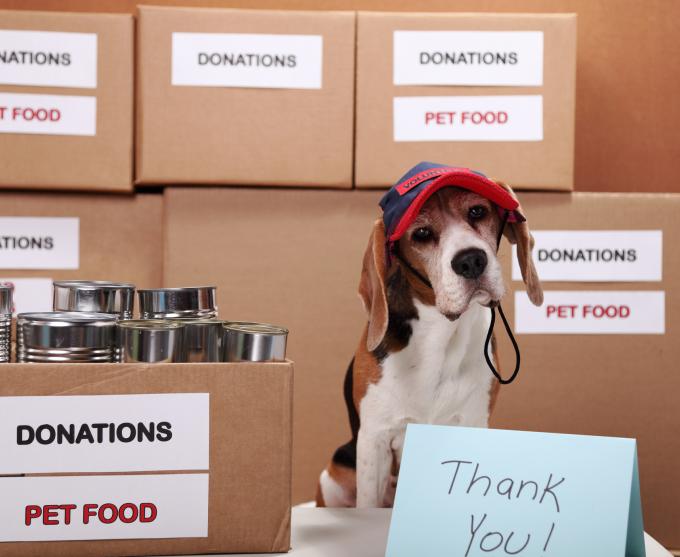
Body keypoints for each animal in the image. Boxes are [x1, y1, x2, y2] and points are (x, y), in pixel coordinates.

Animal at [316, 163, 544, 506]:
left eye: (477, 211)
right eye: (421, 234)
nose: (471, 260)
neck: (442, 333)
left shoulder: (473, 424)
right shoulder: (374, 440)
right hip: (332, 476)